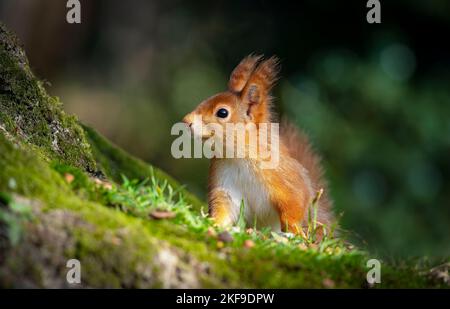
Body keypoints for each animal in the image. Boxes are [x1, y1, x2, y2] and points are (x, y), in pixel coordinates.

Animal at [181, 54, 332, 233]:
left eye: (222, 112)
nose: (186, 121)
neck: (238, 157)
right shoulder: (227, 187)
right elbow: (224, 209)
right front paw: (213, 223)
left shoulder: (286, 178)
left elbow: (296, 201)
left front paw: (294, 229)